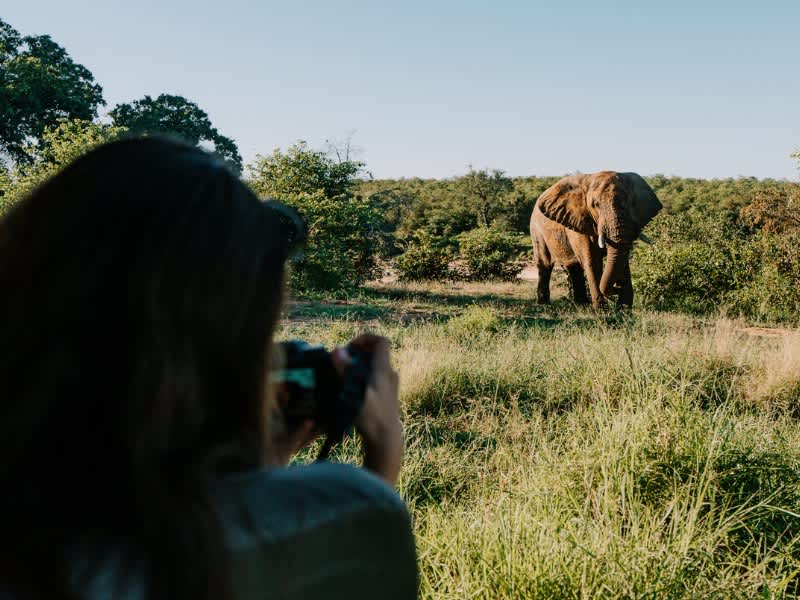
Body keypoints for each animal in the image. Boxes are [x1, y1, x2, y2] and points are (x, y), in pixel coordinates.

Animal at [530, 171, 662, 308]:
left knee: (574, 268)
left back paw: (581, 306)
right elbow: (593, 262)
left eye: (629, 202)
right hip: (536, 230)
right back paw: (543, 305)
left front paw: (624, 309)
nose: (616, 288)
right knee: (545, 265)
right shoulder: (579, 222)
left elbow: (623, 261)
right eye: (595, 205)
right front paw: (604, 312)